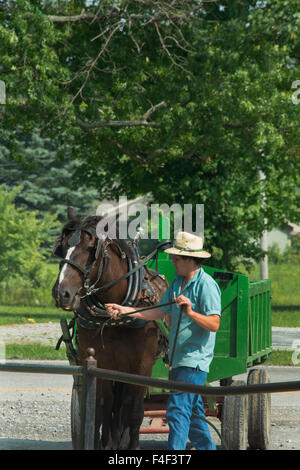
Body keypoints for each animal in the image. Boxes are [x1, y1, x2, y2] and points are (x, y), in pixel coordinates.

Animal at [51, 207, 169, 450]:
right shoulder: (101, 363)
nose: (61, 293)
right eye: (63, 246)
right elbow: (101, 410)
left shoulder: (142, 366)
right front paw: (100, 443)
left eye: (90, 249)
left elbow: (135, 413)